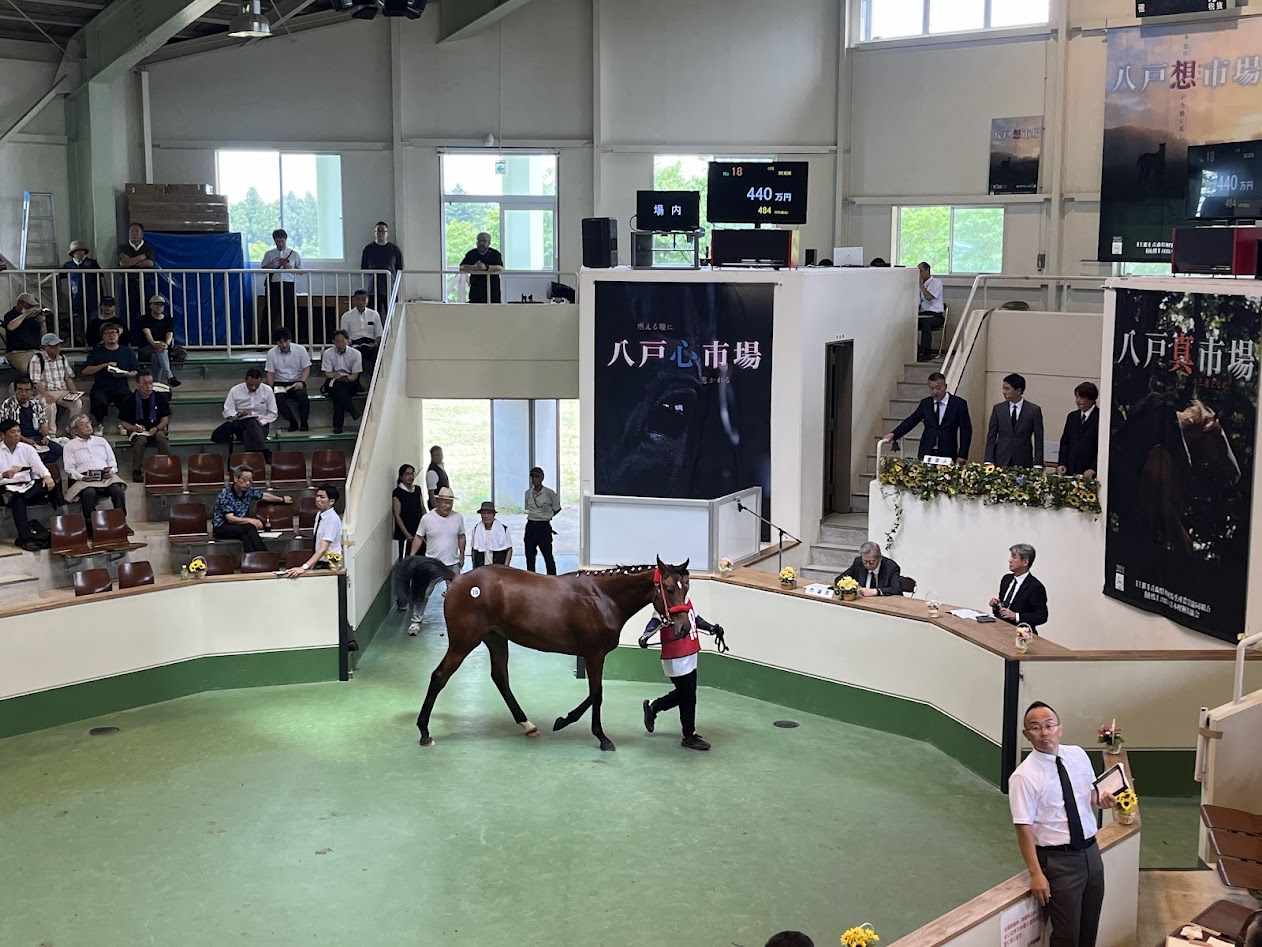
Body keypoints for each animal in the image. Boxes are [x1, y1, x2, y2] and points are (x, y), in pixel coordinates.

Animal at [393, 555, 693, 751]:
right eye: (668, 589)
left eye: (686, 587)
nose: (683, 627)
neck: (602, 597)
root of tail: (457, 579)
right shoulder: (594, 654)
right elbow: (596, 694)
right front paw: (599, 736)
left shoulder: (593, 654)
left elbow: (593, 694)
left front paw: (563, 721)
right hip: (464, 642)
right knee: (439, 676)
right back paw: (424, 732)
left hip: (495, 639)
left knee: (500, 678)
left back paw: (527, 724)